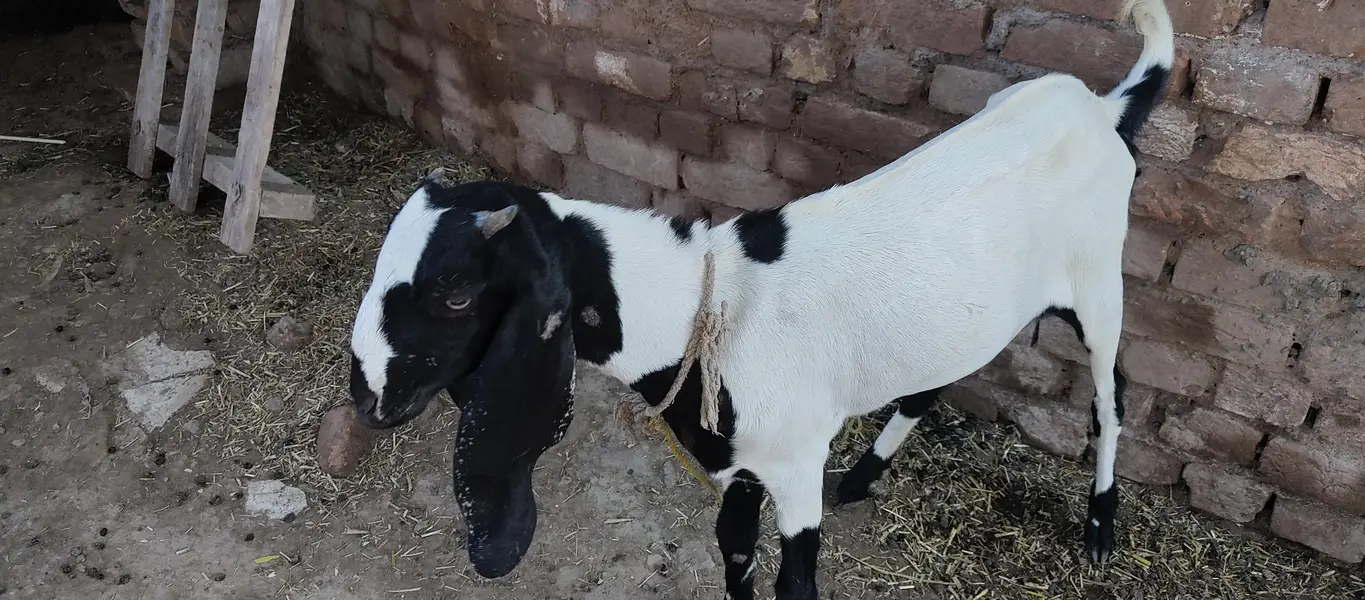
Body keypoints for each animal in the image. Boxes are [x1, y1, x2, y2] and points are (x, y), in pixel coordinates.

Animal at [346, 0, 1174, 597]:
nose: (365, 394)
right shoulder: (739, 470)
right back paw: (866, 476)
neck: (706, 309)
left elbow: (792, 583)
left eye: (455, 293)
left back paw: (1099, 528)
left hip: (1097, 283)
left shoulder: (794, 466)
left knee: (1112, 395)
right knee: (938, 376)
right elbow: (732, 557)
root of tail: (1101, 108)